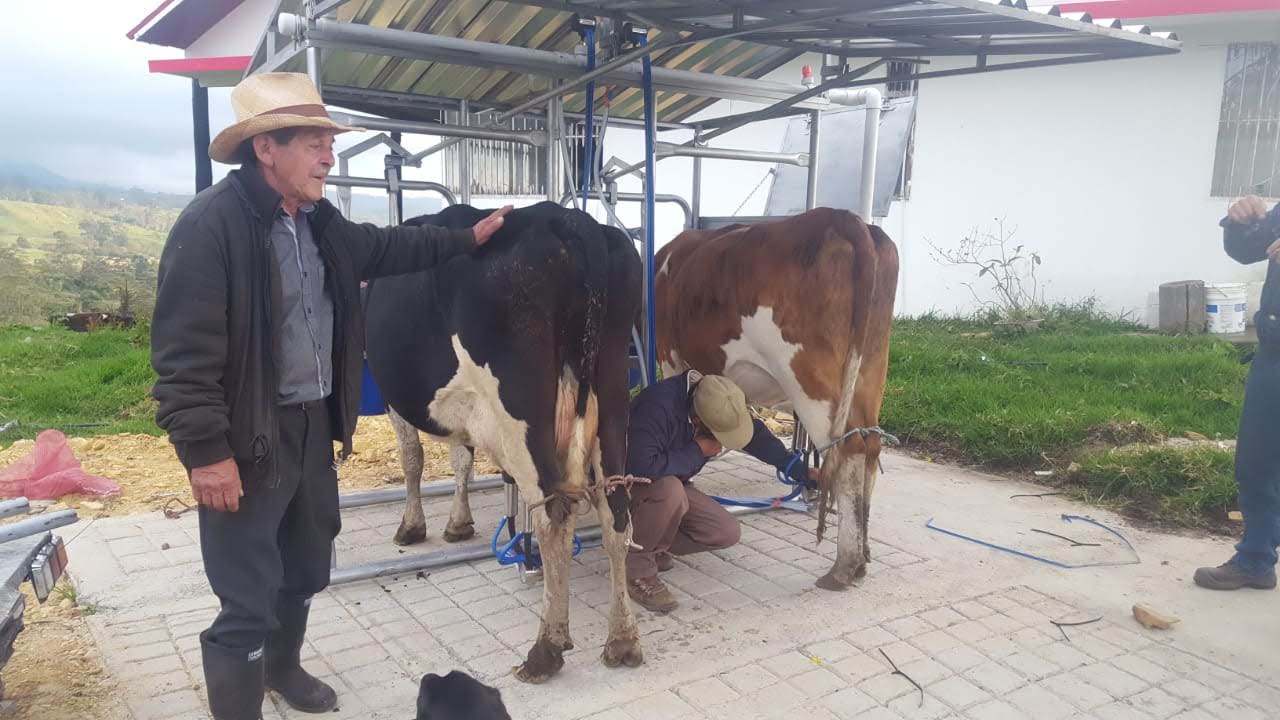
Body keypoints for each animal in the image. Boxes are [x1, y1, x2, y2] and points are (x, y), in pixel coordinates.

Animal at [363, 199, 645, 676]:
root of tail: (570, 219)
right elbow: (461, 459)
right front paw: (458, 523)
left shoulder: (393, 399)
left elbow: (412, 458)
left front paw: (412, 526)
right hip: (612, 397)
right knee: (616, 513)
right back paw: (622, 640)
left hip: (519, 413)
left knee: (553, 515)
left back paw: (546, 648)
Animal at [655, 207, 896, 589]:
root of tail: (842, 218)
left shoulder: (669, 357)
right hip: (871, 369)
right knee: (870, 448)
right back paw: (863, 556)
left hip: (809, 378)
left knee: (849, 452)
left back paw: (844, 565)